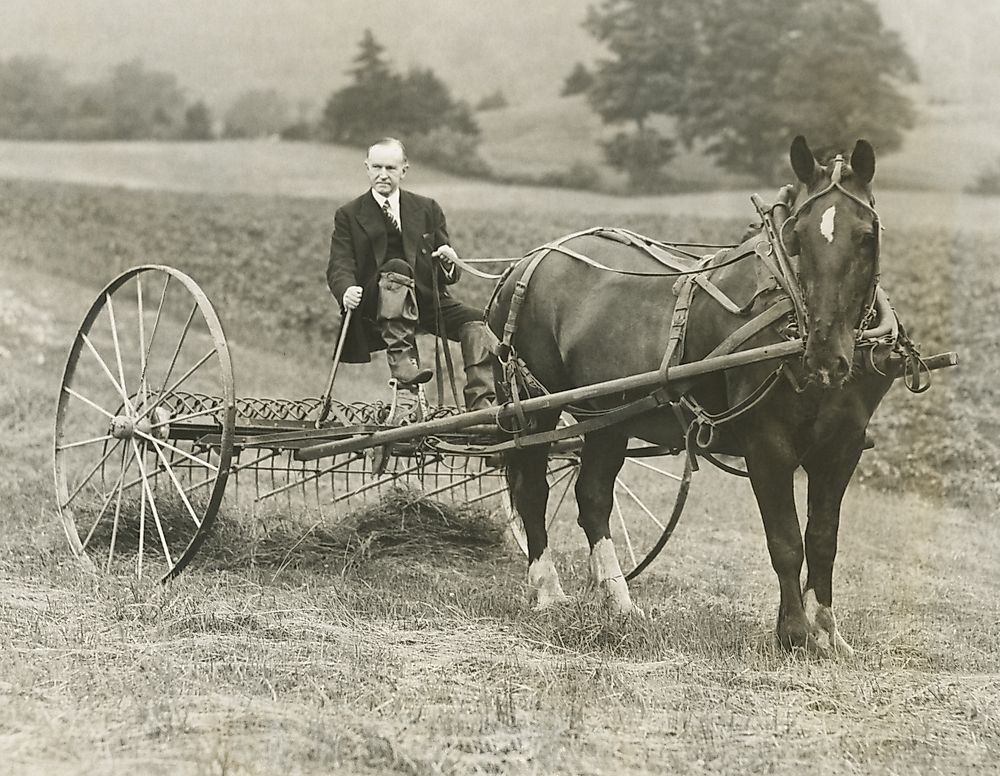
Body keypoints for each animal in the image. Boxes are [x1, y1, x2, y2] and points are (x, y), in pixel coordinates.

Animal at [484, 135, 892, 656]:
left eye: (866, 236)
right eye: (797, 238)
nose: (824, 356)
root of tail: (523, 262)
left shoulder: (842, 447)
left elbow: (823, 540)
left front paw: (827, 632)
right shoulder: (767, 445)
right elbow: (785, 540)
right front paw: (794, 634)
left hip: (609, 416)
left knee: (592, 496)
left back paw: (620, 602)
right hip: (536, 407)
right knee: (533, 489)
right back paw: (549, 591)